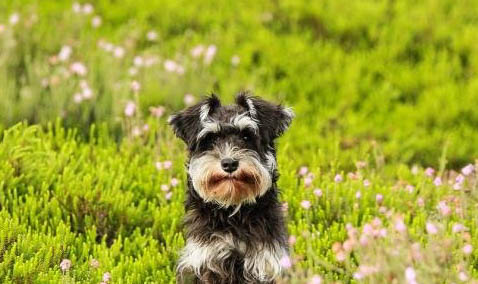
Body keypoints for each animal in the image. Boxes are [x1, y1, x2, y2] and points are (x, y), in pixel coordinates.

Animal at [168, 92, 296, 282]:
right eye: (211, 138)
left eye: (246, 136)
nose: (229, 163)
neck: (233, 212)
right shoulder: (206, 261)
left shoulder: (266, 263)